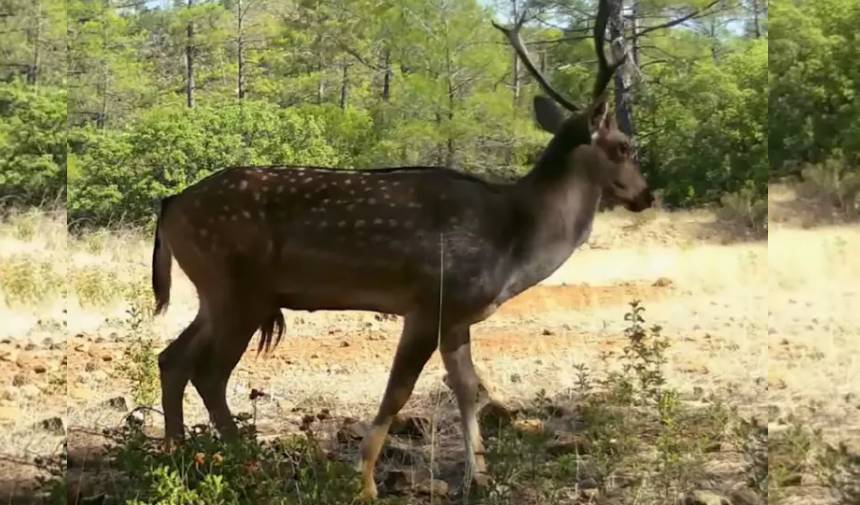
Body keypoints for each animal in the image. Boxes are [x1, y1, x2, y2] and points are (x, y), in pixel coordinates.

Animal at [151, 0, 656, 498]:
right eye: (625, 146)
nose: (646, 195)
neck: (513, 241)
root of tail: (170, 203)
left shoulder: (458, 315)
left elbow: (468, 388)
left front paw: (479, 479)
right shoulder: (430, 302)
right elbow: (399, 391)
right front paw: (365, 484)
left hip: (219, 293)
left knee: (173, 358)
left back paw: (176, 456)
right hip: (240, 288)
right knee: (209, 372)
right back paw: (242, 463)